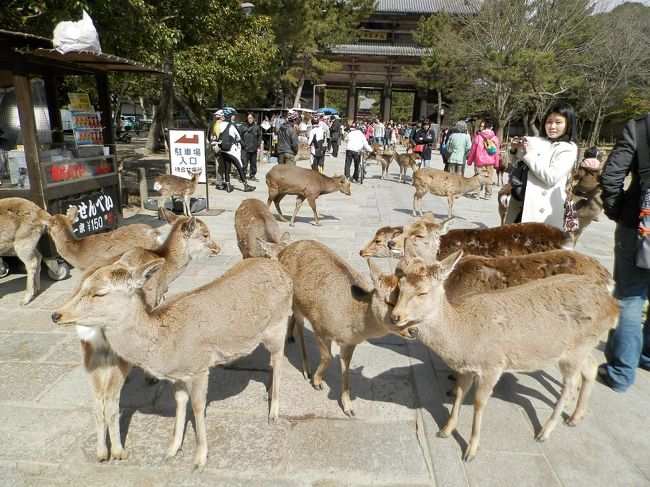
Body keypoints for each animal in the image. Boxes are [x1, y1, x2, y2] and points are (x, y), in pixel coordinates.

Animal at [52, 257, 292, 470]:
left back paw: (273, 413)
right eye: (83, 284)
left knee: (279, 359)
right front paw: (171, 449)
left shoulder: (199, 367)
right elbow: (179, 403)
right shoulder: (178, 376)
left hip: (278, 324)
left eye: (99, 293)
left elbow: (198, 407)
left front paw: (199, 460)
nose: (56, 315)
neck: (165, 348)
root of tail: (283, 270)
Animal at [69, 212, 220, 463]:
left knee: (97, 401)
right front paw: (151, 377)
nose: (217, 248)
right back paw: (118, 451)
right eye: (205, 234)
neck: (165, 268)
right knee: (110, 400)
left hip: (89, 356)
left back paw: (101, 453)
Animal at [278, 239, 414, 416]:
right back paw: (306, 370)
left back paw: (289, 337)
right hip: (295, 299)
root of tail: (283, 251)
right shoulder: (320, 327)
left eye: (412, 299)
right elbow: (328, 357)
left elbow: (346, 369)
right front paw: (317, 382)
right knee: (300, 328)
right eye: (390, 302)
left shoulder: (350, 343)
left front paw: (348, 408)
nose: (413, 330)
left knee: (294, 319)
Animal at [390, 248, 619, 462]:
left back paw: (544, 432)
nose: (395, 316)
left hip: (574, 351)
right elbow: (459, 393)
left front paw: (470, 451)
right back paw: (575, 418)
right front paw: (445, 430)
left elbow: (479, 404)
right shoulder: (467, 368)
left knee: (571, 382)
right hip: (582, 347)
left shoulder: (492, 366)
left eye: (422, 292)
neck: (464, 340)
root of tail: (614, 307)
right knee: (591, 366)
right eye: (400, 286)